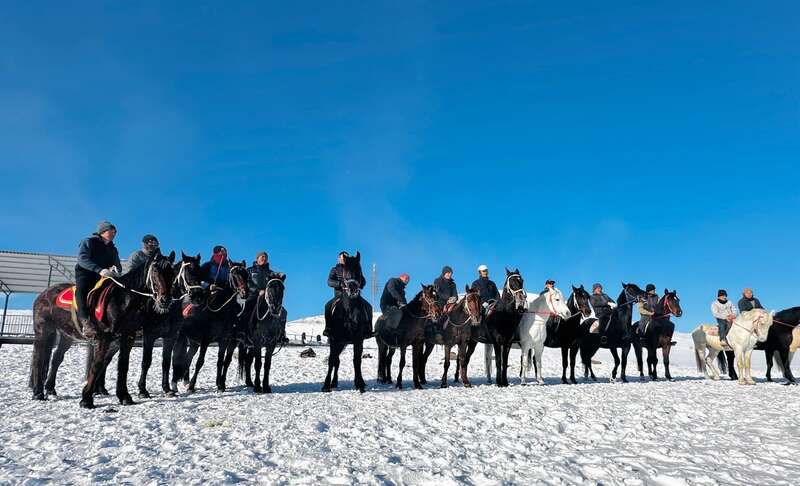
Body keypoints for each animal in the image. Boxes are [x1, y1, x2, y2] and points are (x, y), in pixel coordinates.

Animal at [32, 249, 175, 408]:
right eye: (155, 269)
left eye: (172, 272)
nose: (165, 300)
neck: (123, 300)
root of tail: (43, 294)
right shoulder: (104, 338)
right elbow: (97, 364)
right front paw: (86, 399)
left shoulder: (128, 337)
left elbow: (123, 365)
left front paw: (124, 396)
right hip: (43, 331)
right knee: (38, 358)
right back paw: (38, 393)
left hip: (66, 336)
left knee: (56, 358)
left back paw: (50, 389)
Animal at [172, 260, 250, 392]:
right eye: (234, 275)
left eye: (246, 275)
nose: (245, 293)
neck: (220, 310)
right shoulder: (206, 340)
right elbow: (200, 362)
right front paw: (192, 386)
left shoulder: (224, 341)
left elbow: (221, 361)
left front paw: (220, 385)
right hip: (183, 337)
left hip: (194, 342)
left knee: (187, 358)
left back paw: (185, 381)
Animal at [320, 252, 374, 392]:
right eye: (345, 270)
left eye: (359, 269)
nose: (353, 288)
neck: (348, 310)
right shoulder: (335, 339)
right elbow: (332, 360)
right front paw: (326, 385)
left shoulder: (358, 339)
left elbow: (357, 360)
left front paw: (360, 384)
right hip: (338, 342)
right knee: (336, 360)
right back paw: (333, 383)